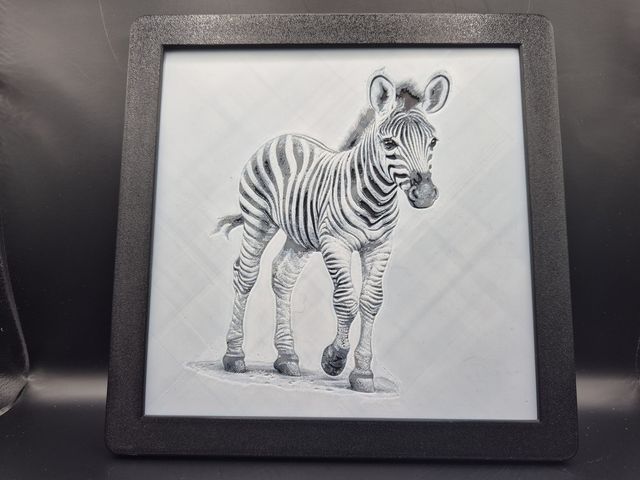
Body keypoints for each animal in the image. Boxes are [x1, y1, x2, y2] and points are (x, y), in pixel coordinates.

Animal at [213, 71, 450, 392]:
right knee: (245, 274)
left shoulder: (380, 246)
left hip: (300, 238)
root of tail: (283, 137)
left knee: (282, 276)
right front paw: (334, 358)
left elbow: (371, 301)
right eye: (389, 143)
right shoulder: (335, 243)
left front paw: (362, 373)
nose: (425, 195)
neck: (377, 197)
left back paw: (287, 357)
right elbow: (346, 301)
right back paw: (234, 356)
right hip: (258, 220)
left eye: (433, 141)